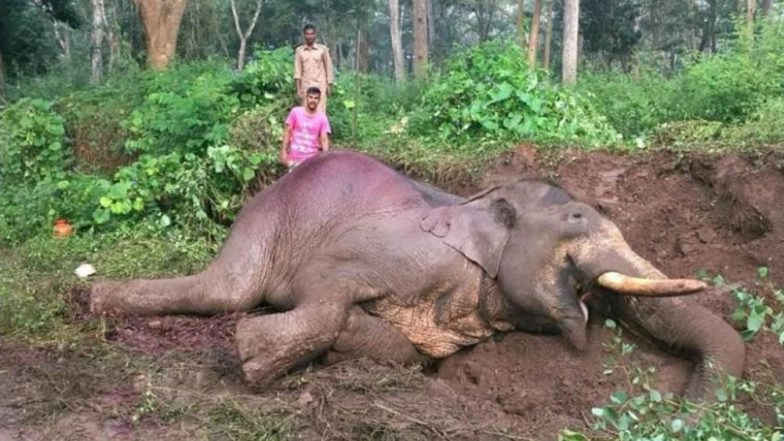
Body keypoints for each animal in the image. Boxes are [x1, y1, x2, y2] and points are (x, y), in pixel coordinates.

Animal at [90, 150, 745, 400]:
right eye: (578, 217)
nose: (685, 407)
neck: (477, 202)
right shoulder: (388, 250)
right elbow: (323, 289)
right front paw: (253, 358)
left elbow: (406, 349)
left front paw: (347, 345)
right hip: (264, 222)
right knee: (226, 289)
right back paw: (93, 297)